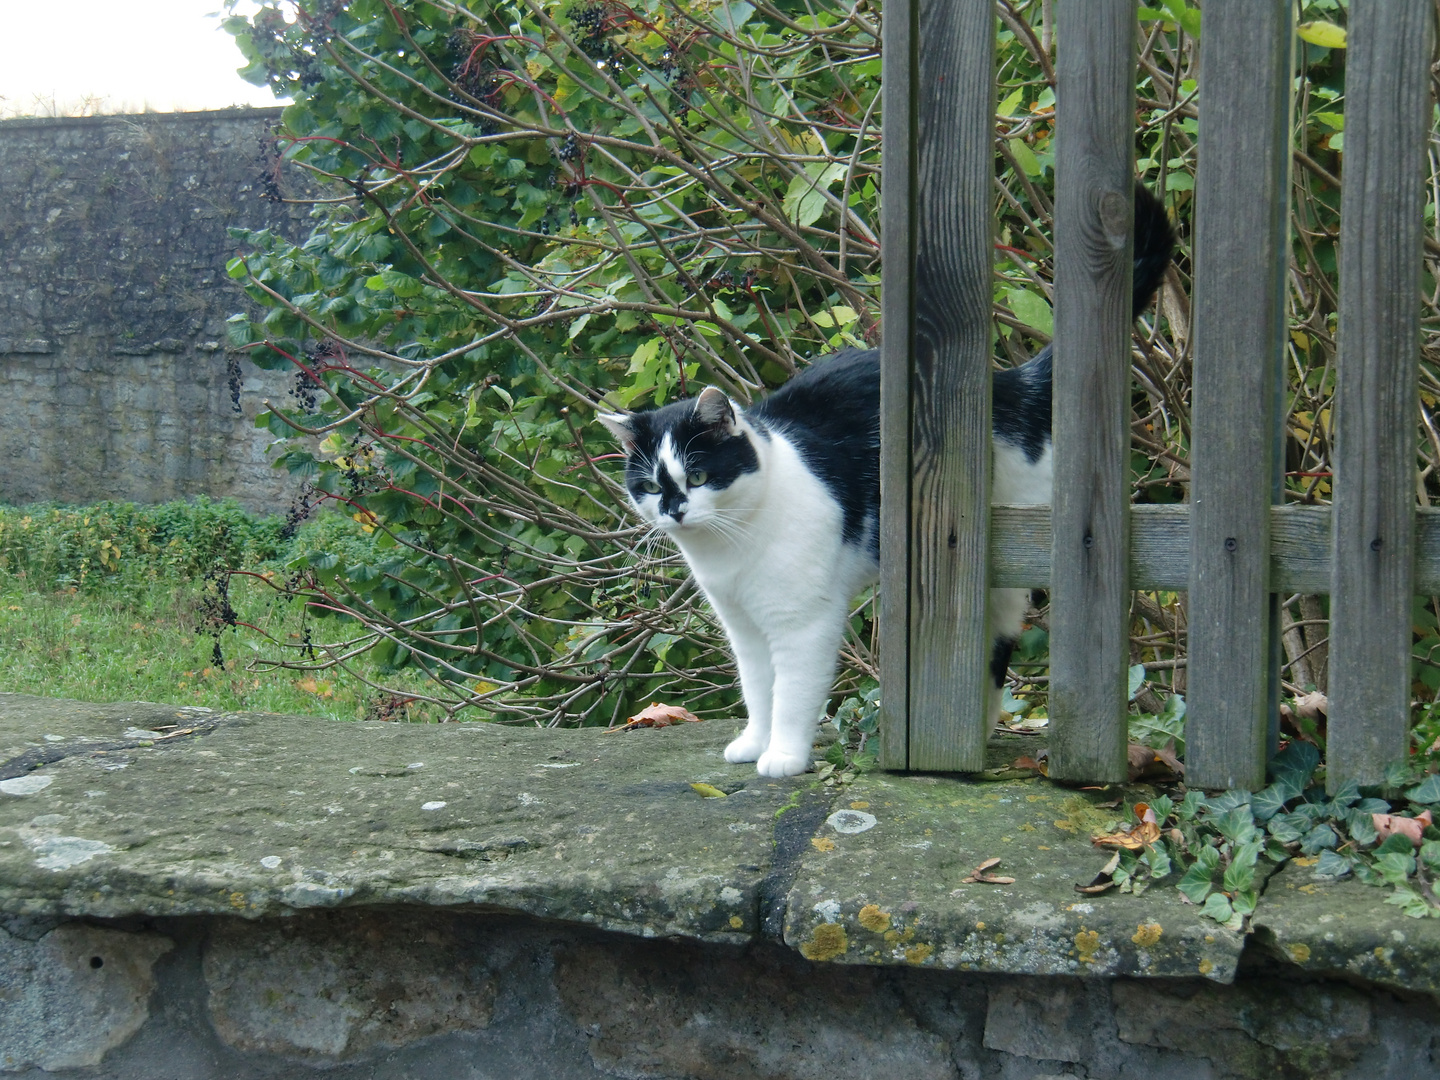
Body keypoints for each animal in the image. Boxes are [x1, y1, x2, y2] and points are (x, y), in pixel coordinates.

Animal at [596, 188, 1169, 777]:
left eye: (699, 475)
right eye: (650, 487)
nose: (675, 509)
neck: (731, 546)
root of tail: (1005, 383)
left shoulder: (803, 623)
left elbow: (793, 693)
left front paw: (784, 757)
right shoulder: (745, 629)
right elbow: (758, 689)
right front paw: (754, 742)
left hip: (1003, 567)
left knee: (997, 643)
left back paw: (978, 730)